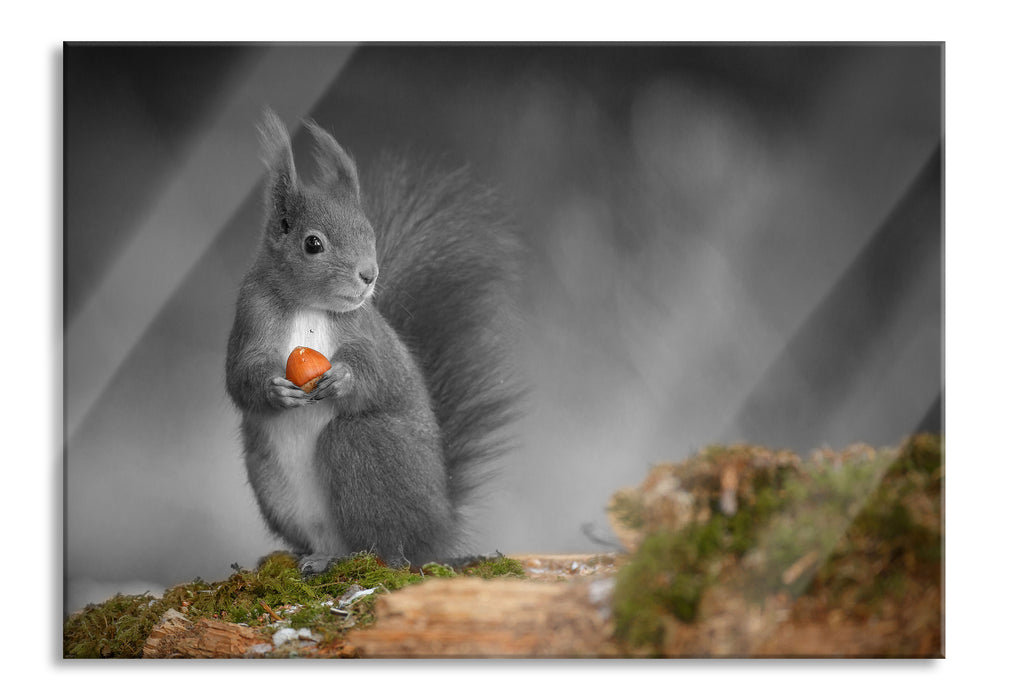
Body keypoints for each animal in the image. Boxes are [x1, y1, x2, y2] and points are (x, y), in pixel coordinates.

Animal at [227, 106, 520, 572]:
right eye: (313, 244)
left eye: (370, 233)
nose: (369, 275)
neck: (307, 306)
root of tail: (439, 530)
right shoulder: (250, 316)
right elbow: (240, 376)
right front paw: (274, 389)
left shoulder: (366, 331)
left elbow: (377, 371)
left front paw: (344, 378)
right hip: (269, 479)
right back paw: (310, 557)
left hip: (366, 446)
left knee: (384, 542)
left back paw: (368, 557)